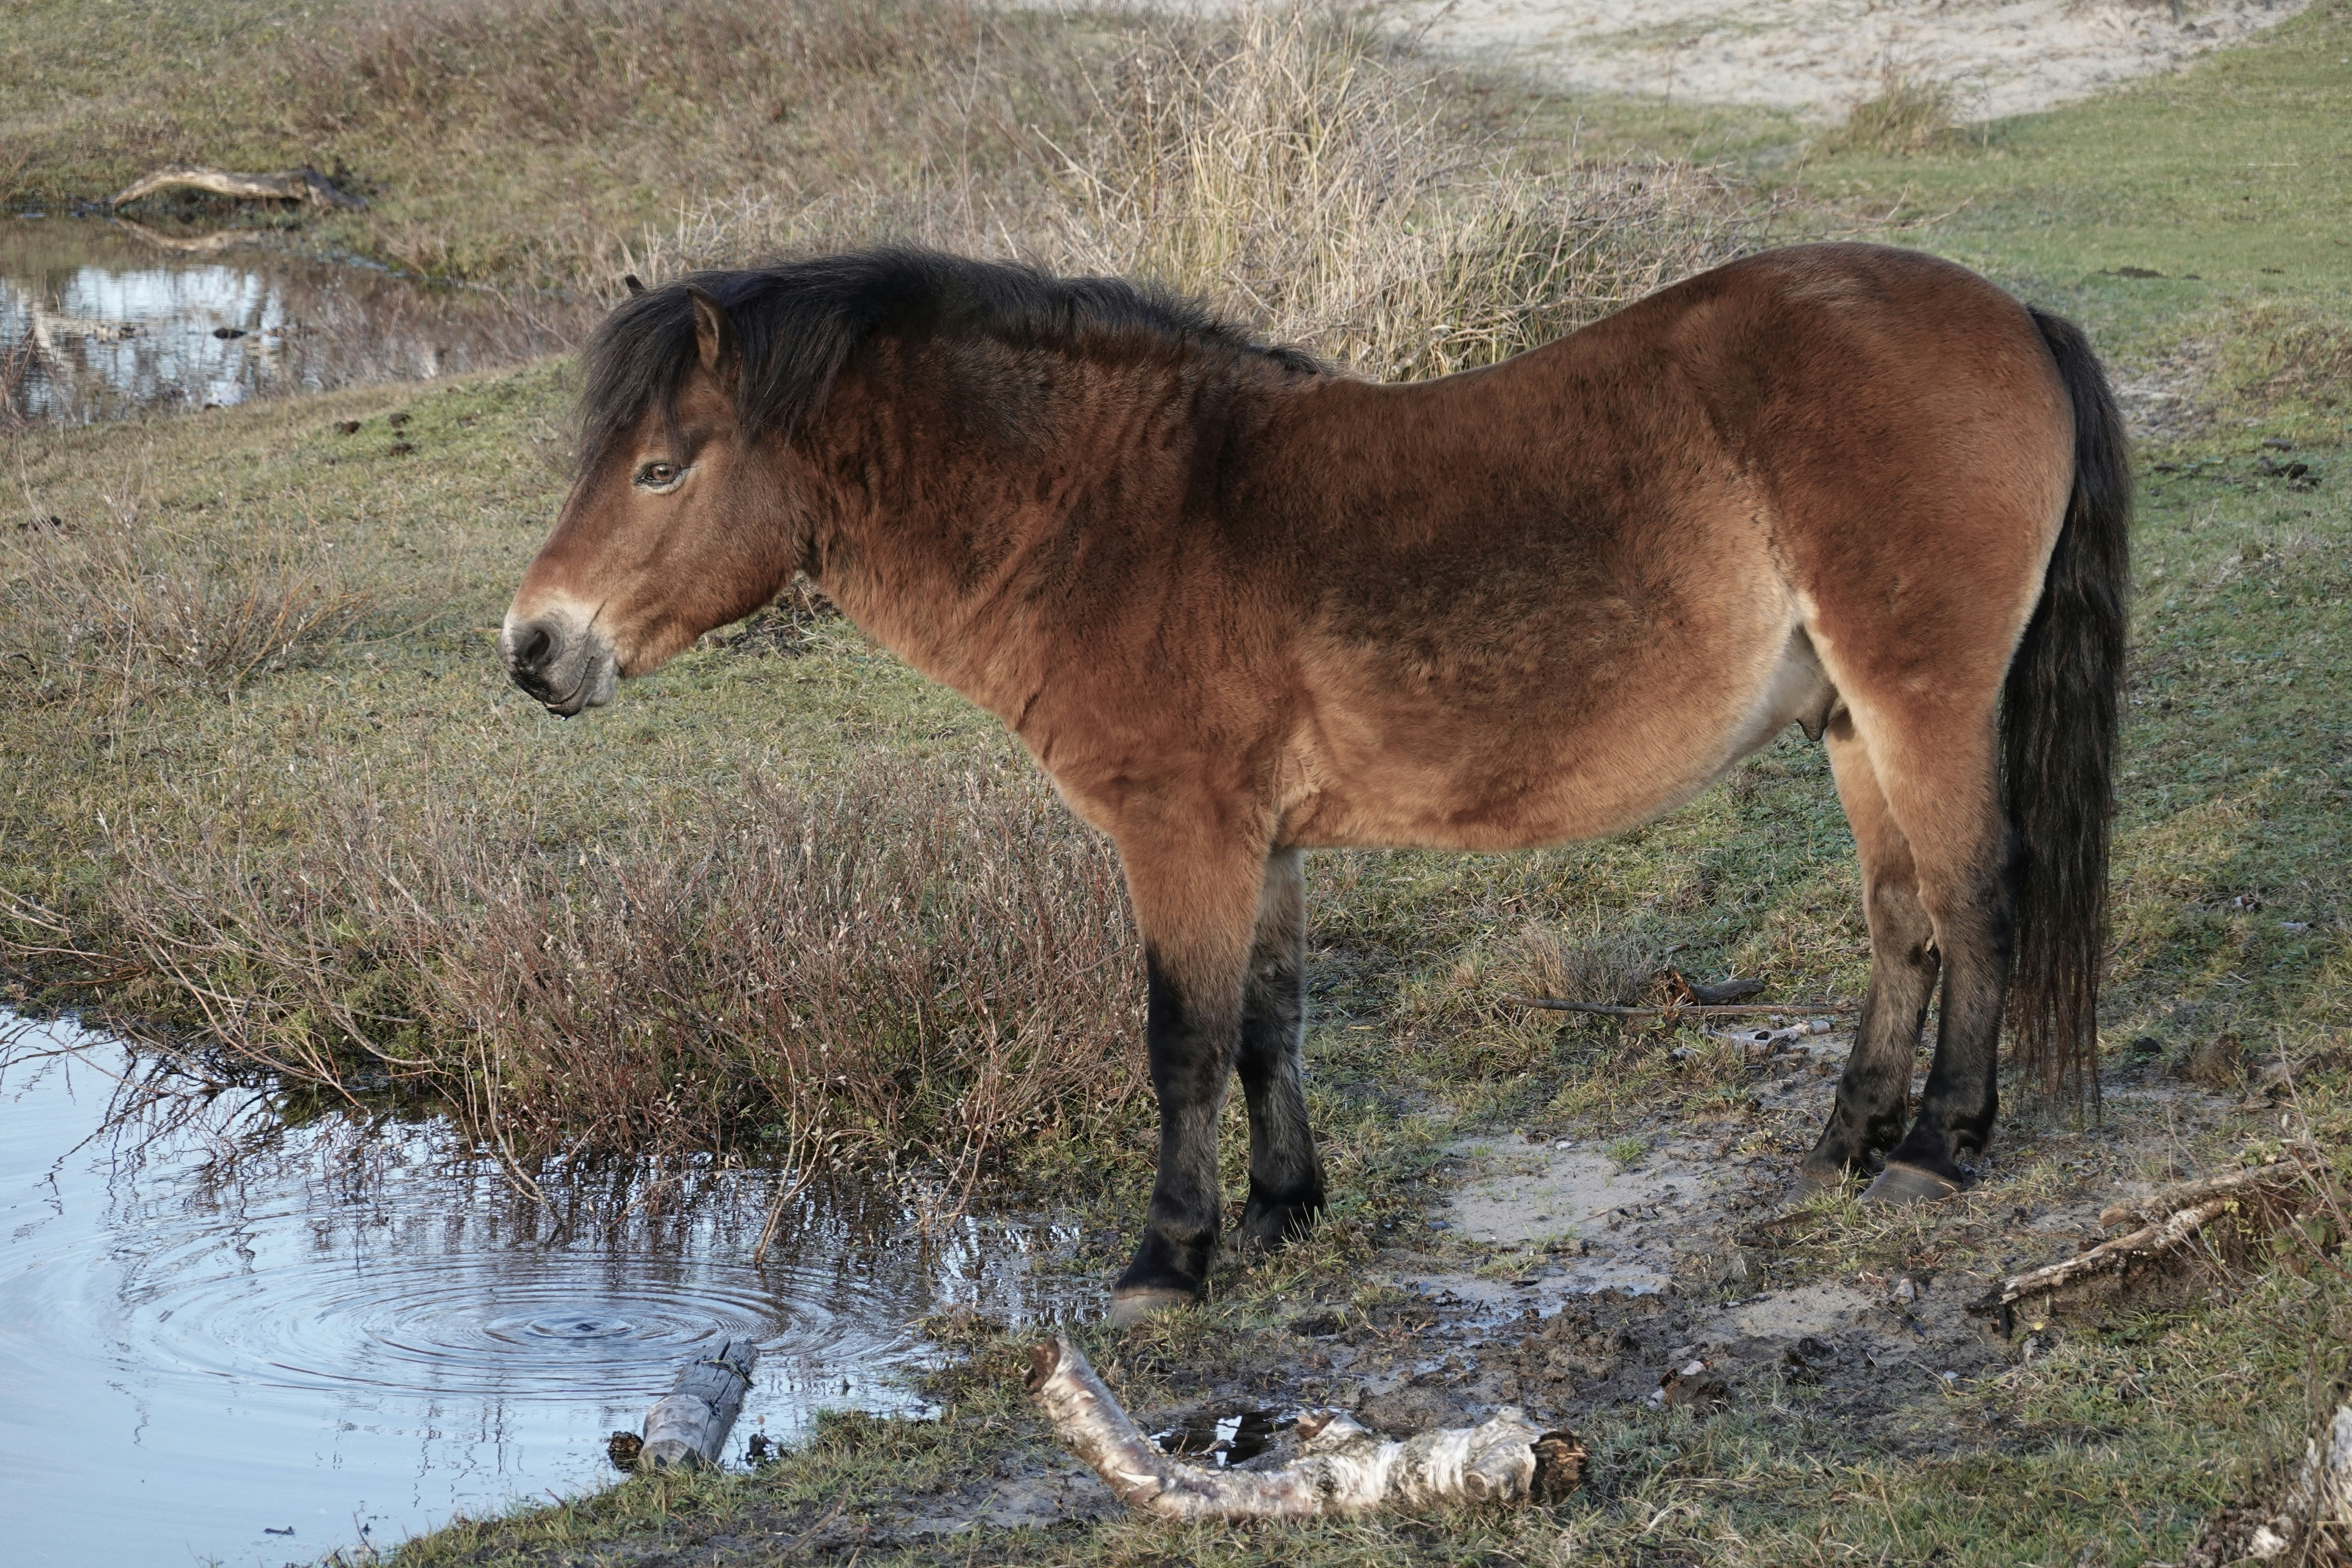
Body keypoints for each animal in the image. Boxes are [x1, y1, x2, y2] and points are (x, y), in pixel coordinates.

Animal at [501, 242, 2129, 1324]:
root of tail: (2006, 310)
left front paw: (1168, 1256)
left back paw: (1937, 1148)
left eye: (663, 466)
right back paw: (1851, 1135)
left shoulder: (1180, 832)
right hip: (1850, 720)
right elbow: (1267, 1022)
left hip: (1921, 700)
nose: (533, 646)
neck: (1116, 515)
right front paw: (1286, 1209)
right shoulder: (1260, 840)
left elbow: (1179, 1040)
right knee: (1903, 918)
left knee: (1976, 894)